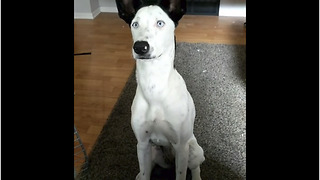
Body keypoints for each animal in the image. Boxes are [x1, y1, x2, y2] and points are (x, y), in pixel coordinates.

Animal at [116, 0, 204, 179]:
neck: (154, 84)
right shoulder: (142, 143)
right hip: (153, 152)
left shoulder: (181, 146)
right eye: (135, 24)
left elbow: (181, 174)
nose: (140, 46)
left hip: (193, 150)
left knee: (195, 167)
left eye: (160, 23)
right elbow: (145, 173)